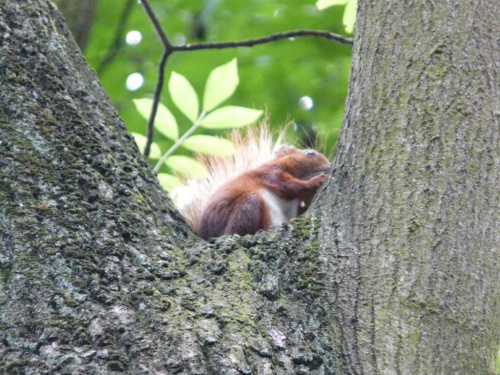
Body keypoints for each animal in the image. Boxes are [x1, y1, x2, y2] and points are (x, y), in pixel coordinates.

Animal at [173, 126, 332, 238]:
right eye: (309, 153)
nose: (329, 166)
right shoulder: (270, 174)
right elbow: (290, 187)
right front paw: (315, 181)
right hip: (248, 205)